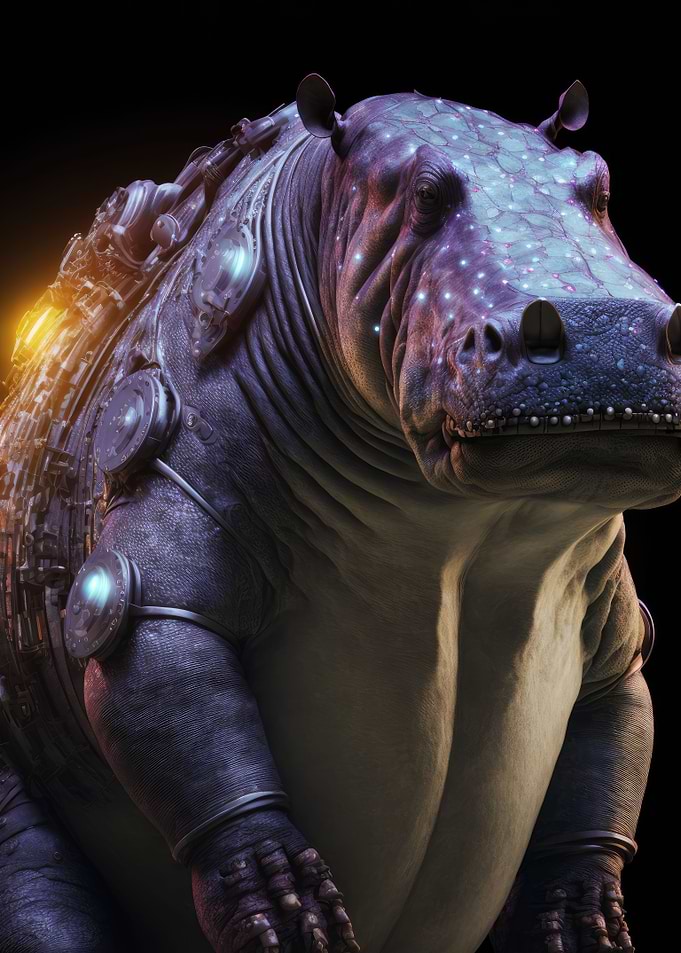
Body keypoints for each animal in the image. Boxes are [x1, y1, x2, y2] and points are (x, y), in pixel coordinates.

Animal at [0, 71, 673, 953]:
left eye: (600, 187)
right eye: (422, 199)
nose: (603, 332)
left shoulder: (601, 599)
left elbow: (612, 733)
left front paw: (581, 917)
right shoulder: (171, 501)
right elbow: (157, 642)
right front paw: (288, 909)